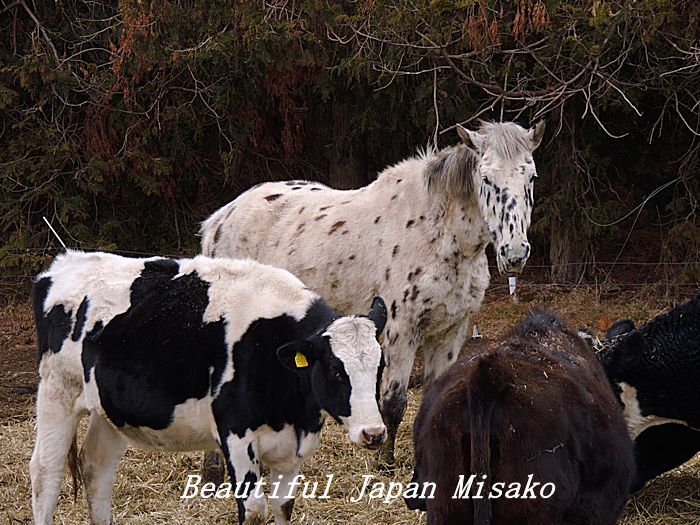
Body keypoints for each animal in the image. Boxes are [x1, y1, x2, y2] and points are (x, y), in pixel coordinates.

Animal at [30, 251, 388, 524]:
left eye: (380, 367)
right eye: (335, 371)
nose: (374, 433)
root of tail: (62, 264)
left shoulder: (290, 448)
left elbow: (283, 507)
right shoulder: (236, 435)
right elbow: (254, 510)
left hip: (110, 409)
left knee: (97, 468)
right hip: (57, 392)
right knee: (46, 472)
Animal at [200, 119, 544, 462]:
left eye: (531, 177)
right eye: (486, 179)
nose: (515, 253)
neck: (438, 235)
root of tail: (220, 219)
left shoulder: (451, 330)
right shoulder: (401, 330)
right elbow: (393, 403)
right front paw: (385, 461)